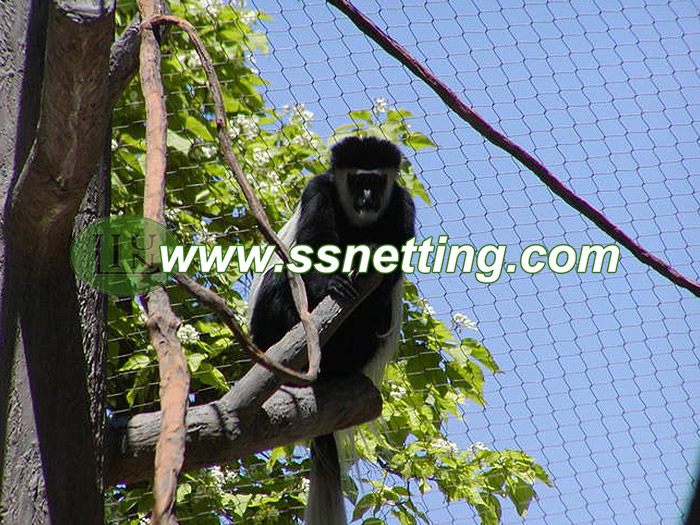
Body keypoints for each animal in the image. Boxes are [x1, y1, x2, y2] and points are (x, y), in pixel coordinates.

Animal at [249, 136, 416, 525]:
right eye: (357, 180)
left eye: (377, 182)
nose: (367, 198)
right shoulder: (318, 192)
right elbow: (312, 245)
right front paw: (331, 284)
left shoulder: (402, 205)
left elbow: (394, 264)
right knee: (281, 280)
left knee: (378, 309)